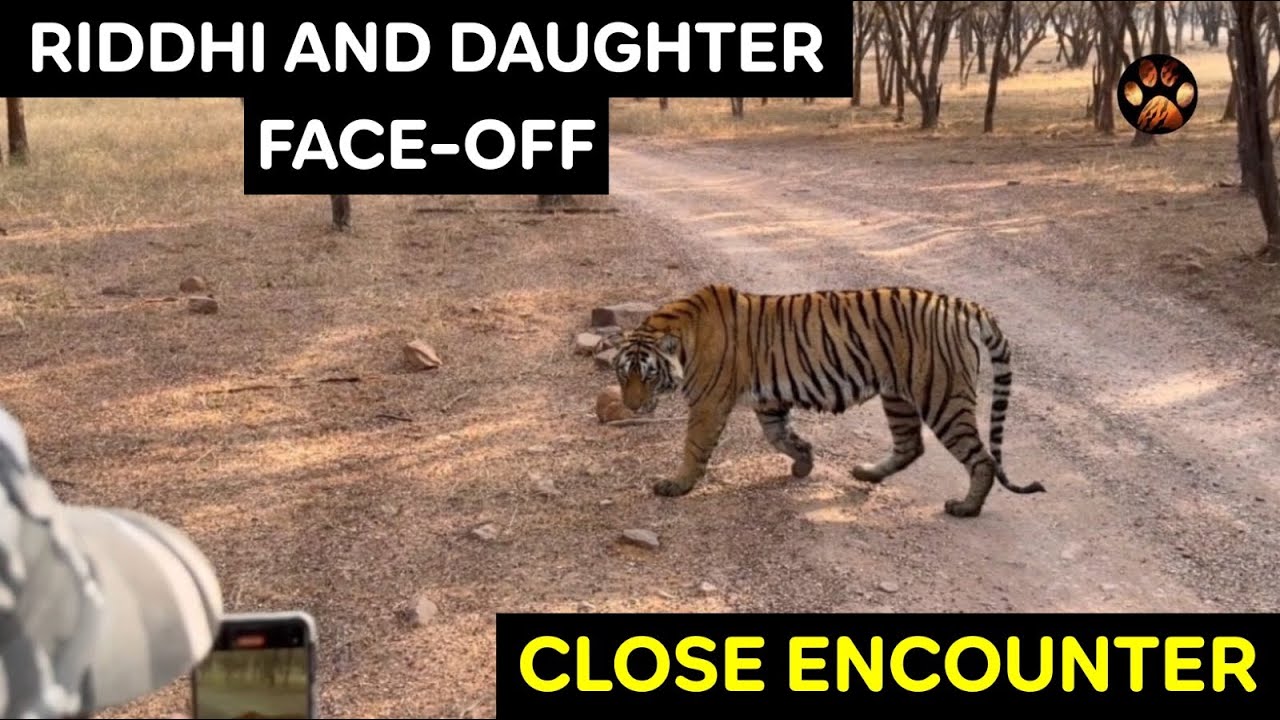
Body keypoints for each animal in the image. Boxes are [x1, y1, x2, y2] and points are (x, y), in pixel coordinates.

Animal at [610, 283, 1046, 518]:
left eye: (648, 375)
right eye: (621, 374)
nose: (631, 407)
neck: (679, 335)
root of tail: (961, 304)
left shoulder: (708, 403)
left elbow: (694, 446)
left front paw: (676, 484)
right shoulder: (769, 399)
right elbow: (779, 436)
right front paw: (804, 462)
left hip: (942, 396)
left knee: (982, 458)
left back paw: (966, 508)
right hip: (898, 395)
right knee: (910, 445)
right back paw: (867, 473)